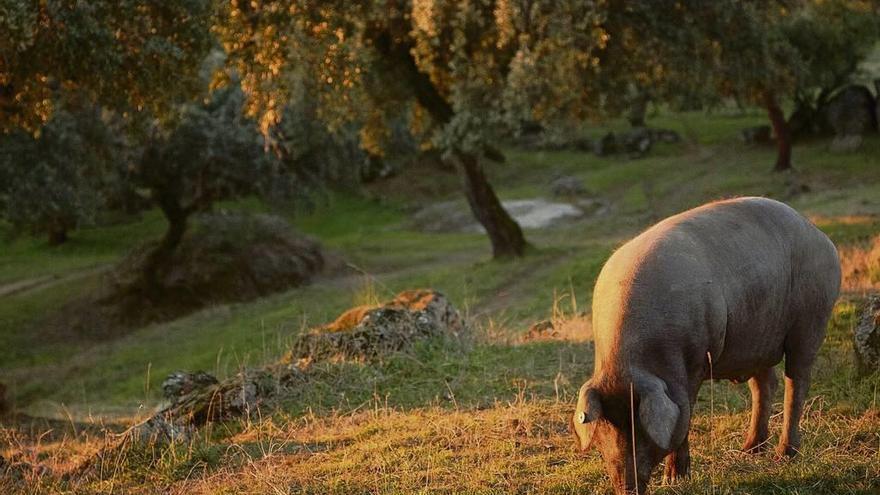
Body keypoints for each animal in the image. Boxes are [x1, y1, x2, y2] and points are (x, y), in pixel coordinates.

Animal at [572, 198, 840, 495]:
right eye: (604, 427)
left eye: (640, 425)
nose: (627, 488)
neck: (632, 360)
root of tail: (820, 235)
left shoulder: (696, 362)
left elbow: (686, 414)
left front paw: (674, 480)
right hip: (756, 339)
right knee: (766, 384)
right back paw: (749, 451)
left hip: (812, 318)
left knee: (797, 380)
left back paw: (784, 455)